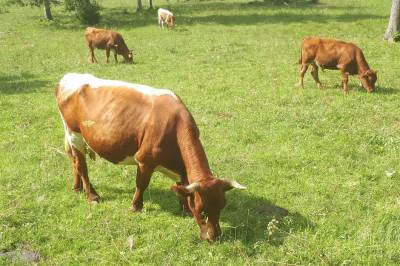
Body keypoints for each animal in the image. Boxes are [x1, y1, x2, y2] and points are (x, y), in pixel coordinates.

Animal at [54, 72, 245, 241]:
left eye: (222, 206)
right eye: (202, 210)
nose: (215, 237)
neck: (174, 127)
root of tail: (68, 77)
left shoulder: (180, 169)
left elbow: (182, 186)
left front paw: (184, 208)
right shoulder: (145, 160)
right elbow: (141, 184)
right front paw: (135, 207)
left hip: (71, 135)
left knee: (73, 160)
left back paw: (77, 188)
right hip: (74, 133)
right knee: (81, 165)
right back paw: (92, 196)